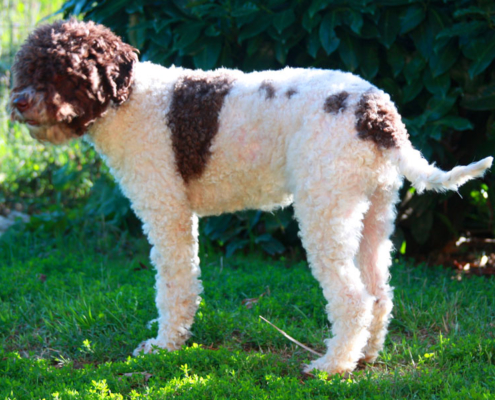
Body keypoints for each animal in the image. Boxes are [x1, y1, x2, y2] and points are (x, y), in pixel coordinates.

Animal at [9, 18, 494, 376]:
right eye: (26, 68)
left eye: (63, 70)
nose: (18, 102)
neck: (128, 99)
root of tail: (377, 114)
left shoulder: (166, 211)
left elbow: (174, 285)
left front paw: (165, 345)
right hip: (373, 212)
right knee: (380, 293)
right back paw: (365, 356)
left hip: (325, 211)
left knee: (353, 298)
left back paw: (333, 366)